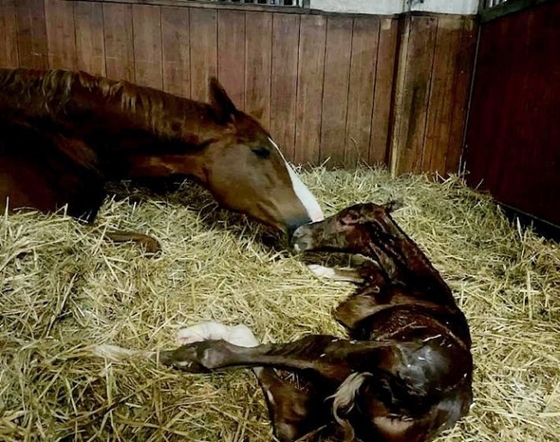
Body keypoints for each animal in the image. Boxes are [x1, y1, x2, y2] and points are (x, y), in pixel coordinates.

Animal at [97, 201, 472, 442]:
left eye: (347, 218)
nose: (300, 234)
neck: (423, 287)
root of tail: (414, 401)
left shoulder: (355, 310)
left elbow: (365, 277)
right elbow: (368, 269)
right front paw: (319, 268)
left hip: (352, 354)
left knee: (254, 353)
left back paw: (149, 348)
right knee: (287, 419)